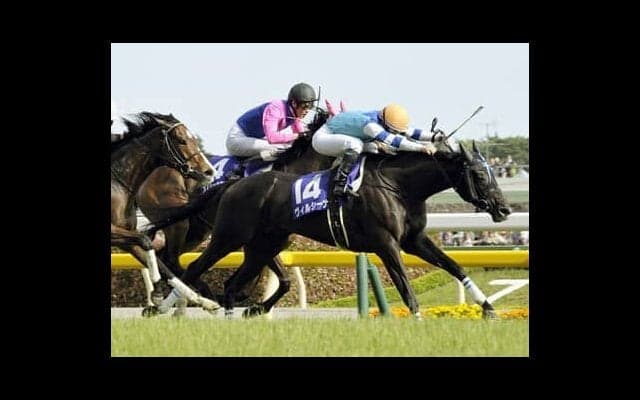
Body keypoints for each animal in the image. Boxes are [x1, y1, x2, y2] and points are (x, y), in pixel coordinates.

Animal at [111, 111, 220, 312]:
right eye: (182, 140)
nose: (209, 172)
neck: (117, 184)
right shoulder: (115, 232)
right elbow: (146, 240)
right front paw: (156, 291)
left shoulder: (124, 239)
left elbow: (164, 266)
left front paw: (205, 301)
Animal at [135, 107, 335, 314]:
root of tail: (151, 174)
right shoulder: (256, 238)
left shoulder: (272, 241)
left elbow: (283, 281)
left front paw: (254, 306)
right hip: (179, 224)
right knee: (174, 259)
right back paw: (198, 296)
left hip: (196, 231)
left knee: (166, 257)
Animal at [147, 141, 511, 319]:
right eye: (480, 175)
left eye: (494, 172)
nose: (504, 209)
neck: (398, 185)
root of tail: (233, 184)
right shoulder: (386, 244)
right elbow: (406, 287)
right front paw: (418, 321)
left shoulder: (414, 240)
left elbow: (455, 266)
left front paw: (489, 309)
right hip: (228, 236)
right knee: (194, 267)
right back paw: (165, 307)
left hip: (266, 244)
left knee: (233, 283)